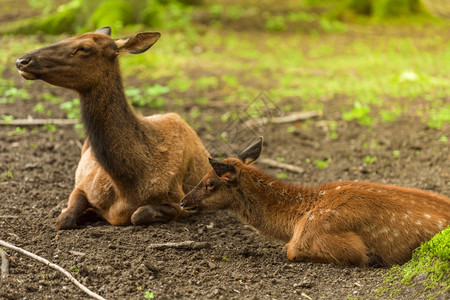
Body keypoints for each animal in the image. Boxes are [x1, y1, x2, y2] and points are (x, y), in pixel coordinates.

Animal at [15, 27, 209, 229]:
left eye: (85, 48)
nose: (22, 60)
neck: (127, 187)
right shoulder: (84, 185)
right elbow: (64, 219)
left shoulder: (178, 200)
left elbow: (139, 214)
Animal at [180, 137, 450, 266]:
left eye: (209, 183)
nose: (183, 202)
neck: (297, 218)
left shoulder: (317, 235)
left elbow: (289, 250)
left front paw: (372, 258)